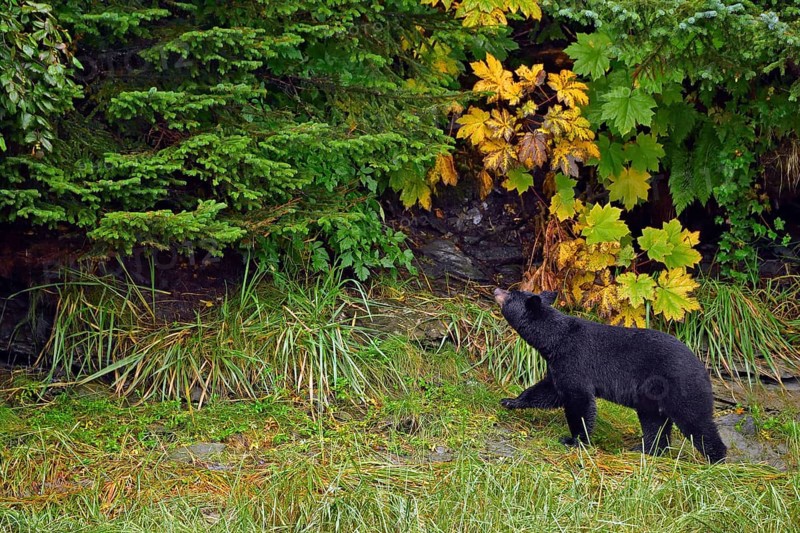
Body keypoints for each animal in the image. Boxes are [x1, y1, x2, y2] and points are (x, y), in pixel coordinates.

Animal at [494, 288, 727, 463]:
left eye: (511, 293)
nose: (497, 290)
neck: (555, 340)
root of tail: (703, 368)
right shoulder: (557, 364)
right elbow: (548, 390)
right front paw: (510, 401)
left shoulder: (574, 360)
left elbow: (578, 399)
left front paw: (574, 440)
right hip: (652, 396)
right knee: (654, 422)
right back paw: (645, 450)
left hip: (679, 385)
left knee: (696, 421)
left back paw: (716, 459)